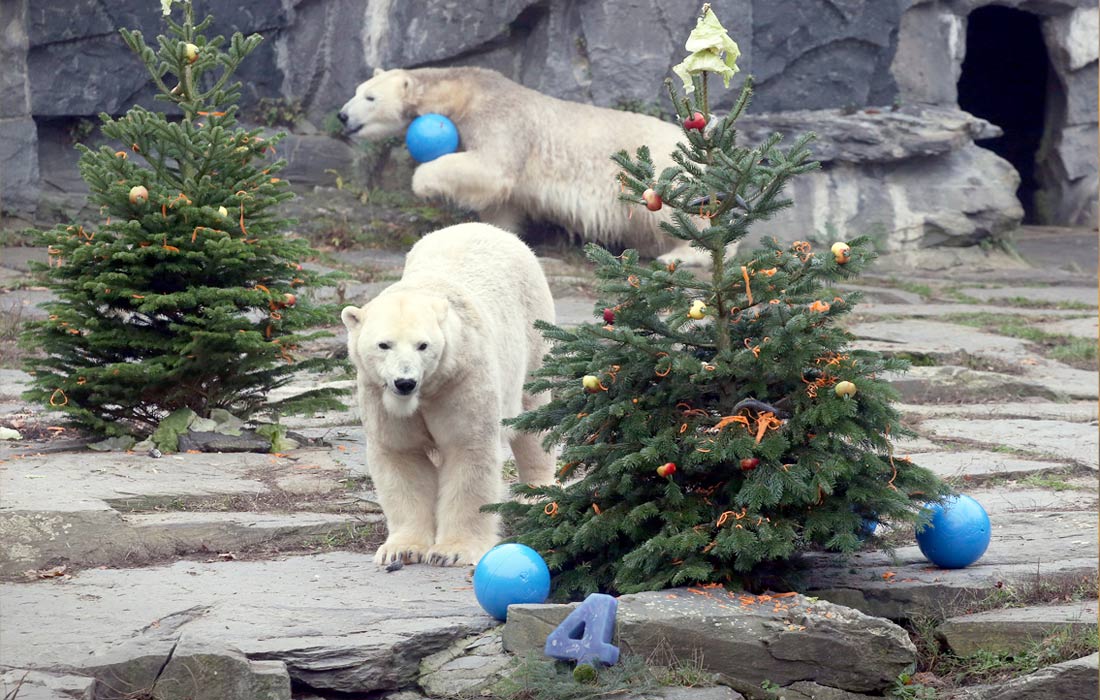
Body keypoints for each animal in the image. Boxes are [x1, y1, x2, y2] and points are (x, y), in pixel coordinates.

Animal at [334, 66, 712, 265]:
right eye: (357, 90)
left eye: (370, 97)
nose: (342, 116)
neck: (467, 92)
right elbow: (503, 202)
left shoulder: (501, 120)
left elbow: (491, 170)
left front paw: (423, 183)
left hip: (659, 171)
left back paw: (680, 254)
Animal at [338, 224, 554, 567]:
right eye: (384, 344)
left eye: (422, 345)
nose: (405, 382)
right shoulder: (377, 392)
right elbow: (401, 454)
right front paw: (402, 548)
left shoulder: (462, 378)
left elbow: (468, 450)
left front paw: (452, 551)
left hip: (532, 324)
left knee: (533, 412)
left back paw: (537, 490)